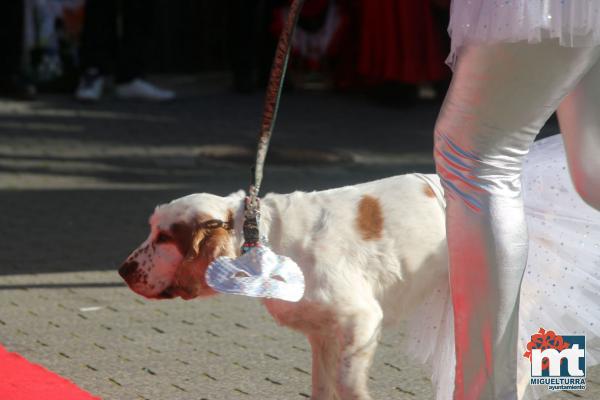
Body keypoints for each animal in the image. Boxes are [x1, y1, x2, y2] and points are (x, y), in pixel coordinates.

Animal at [118, 176, 446, 400]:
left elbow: (347, 384)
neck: (267, 239)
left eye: (164, 238)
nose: (123, 271)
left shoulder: (360, 320)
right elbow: (323, 387)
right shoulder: (324, 335)